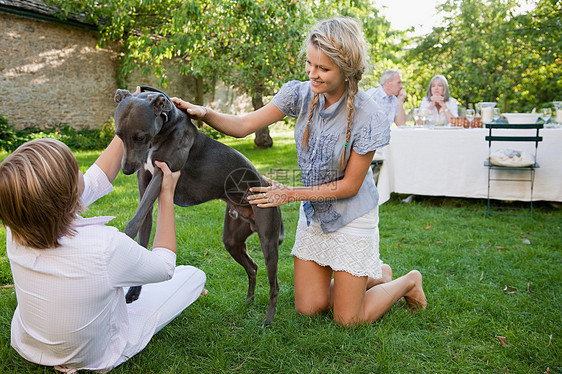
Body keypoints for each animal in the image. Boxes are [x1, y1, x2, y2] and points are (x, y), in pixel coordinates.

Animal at [112, 87, 284, 324]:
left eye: (140, 137)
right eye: (118, 135)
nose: (127, 170)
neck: (165, 130)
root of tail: (266, 183)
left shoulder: (162, 175)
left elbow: (134, 220)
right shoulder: (146, 187)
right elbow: (142, 225)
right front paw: (133, 291)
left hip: (268, 239)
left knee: (274, 284)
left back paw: (268, 320)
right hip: (233, 239)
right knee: (252, 267)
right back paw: (249, 301)